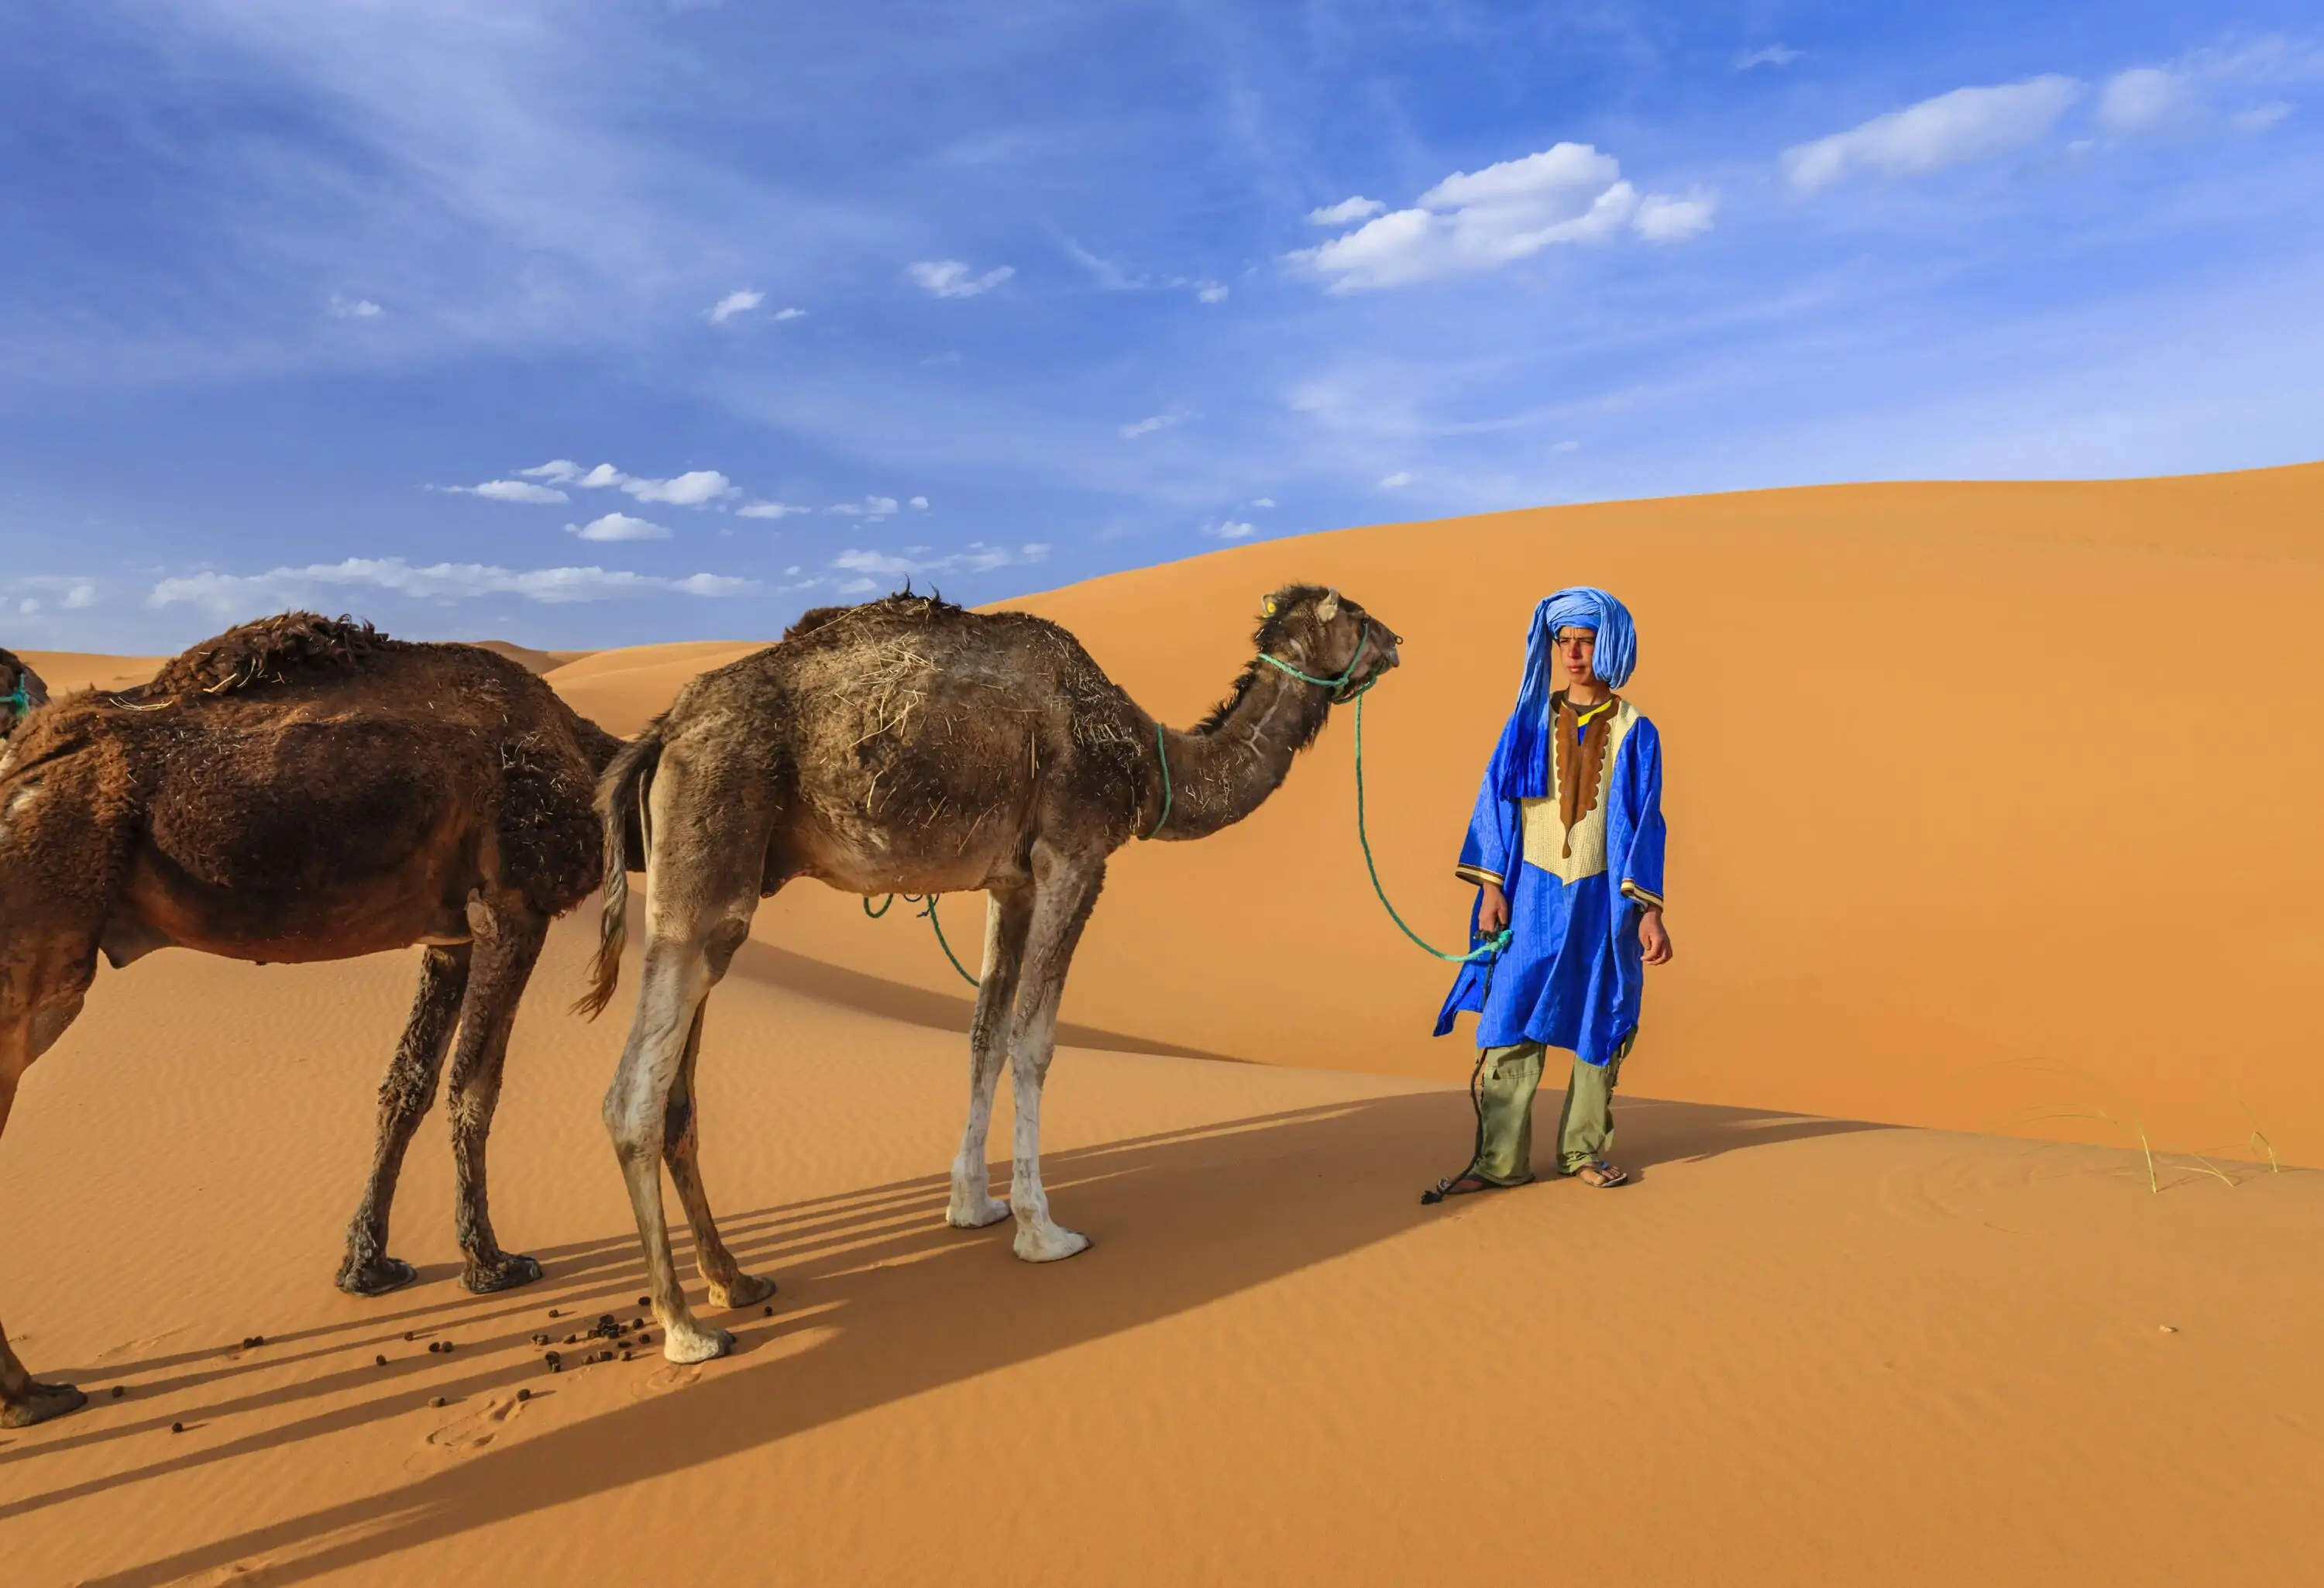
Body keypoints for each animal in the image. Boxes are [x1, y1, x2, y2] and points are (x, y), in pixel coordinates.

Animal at [0, 609, 627, 1432]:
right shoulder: (513, 907)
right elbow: (474, 1088)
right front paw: (492, 1264)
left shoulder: (450, 933)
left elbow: (406, 1087)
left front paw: (369, 1266)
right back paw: (31, 1395)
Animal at [579, 583, 1394, 1366]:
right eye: (1356, 612)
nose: (1396, 641)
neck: (1144, 757)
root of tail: (661, 733)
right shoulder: (1074, 854)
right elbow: (1033, 1045)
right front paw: (1044, 1231)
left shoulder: (1013, 882)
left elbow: (985, 1037)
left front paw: (973, 1205)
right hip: (703, 868)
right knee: (631, 1099)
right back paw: (686, 1328)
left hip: (713, 891)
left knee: (680, 1094)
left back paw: (736, 1282)